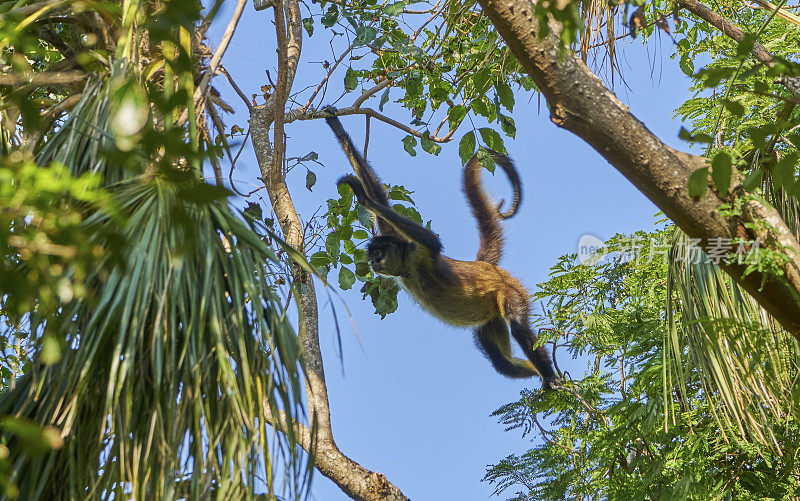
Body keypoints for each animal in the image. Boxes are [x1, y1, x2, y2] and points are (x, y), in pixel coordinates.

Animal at [324, 109, 564, 390]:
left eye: (377, 254)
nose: (372, 262)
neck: (406, 270)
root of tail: (485, 266)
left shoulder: (417, 254)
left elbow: (432, 241)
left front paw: (362, 197)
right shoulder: (396, 239)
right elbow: (379, 196)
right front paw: (336, 126)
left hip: (508, 290)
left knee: (517, 326)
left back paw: (552, 377)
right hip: (490, 317)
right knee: (502, 363)